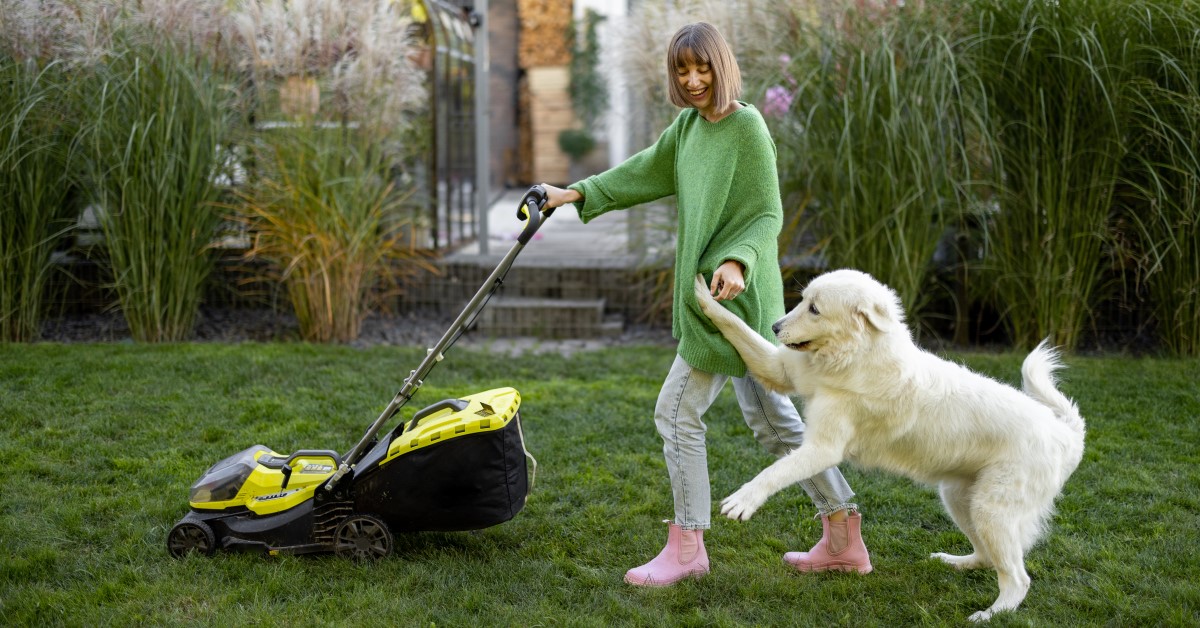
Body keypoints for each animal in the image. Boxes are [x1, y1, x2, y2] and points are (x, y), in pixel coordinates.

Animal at [696, 267, 1089, 619]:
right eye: (804, 300)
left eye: (814, 309)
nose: (776, 327)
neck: (856, 355)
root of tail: (1066, 434)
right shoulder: (780, 370)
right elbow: (737, 327)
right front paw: (704, 295)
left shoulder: (822, 449)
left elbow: (775, 472)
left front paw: (743, 501)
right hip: (960, 498)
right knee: (987, 557)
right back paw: (954, 563)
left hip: (991, 510)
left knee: (1017, 578)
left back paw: (992, 614)